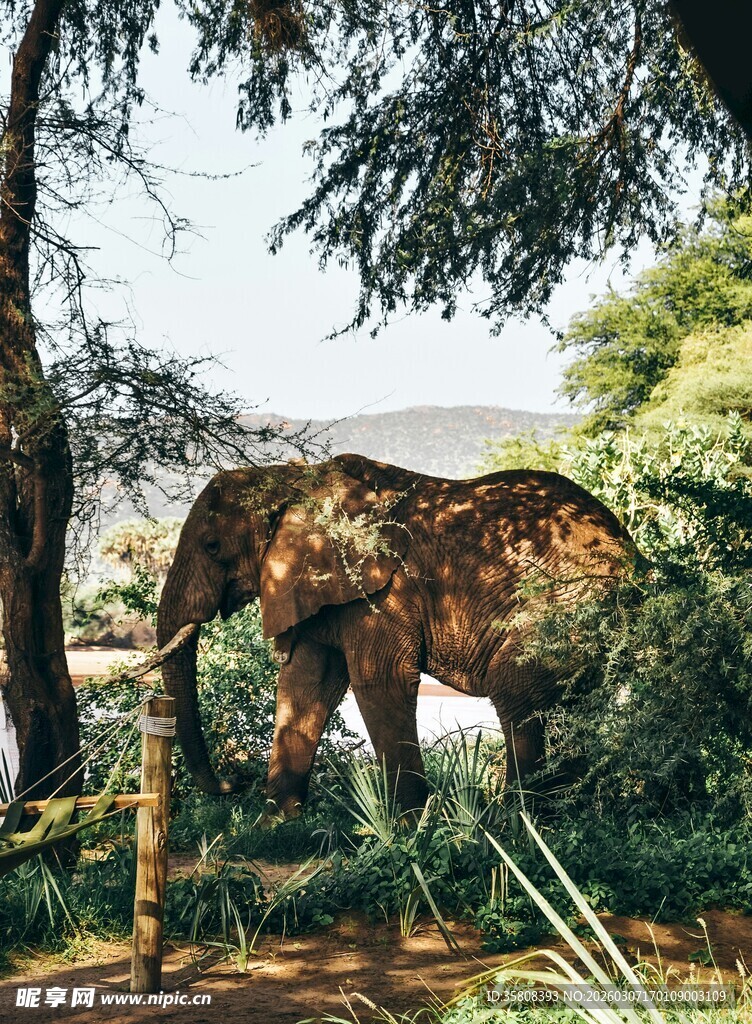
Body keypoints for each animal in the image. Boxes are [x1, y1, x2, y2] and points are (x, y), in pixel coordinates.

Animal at [157, 453, 639, 817]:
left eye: (212, 547)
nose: (231, 783)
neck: (298, 483)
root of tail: (637, 559)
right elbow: (305, 683)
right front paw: (276, 823)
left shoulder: (386, 589)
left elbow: (378, 679)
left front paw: (409, 828)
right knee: (569, 707)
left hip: (570, 604)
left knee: (516, 691)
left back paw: (516, 826)